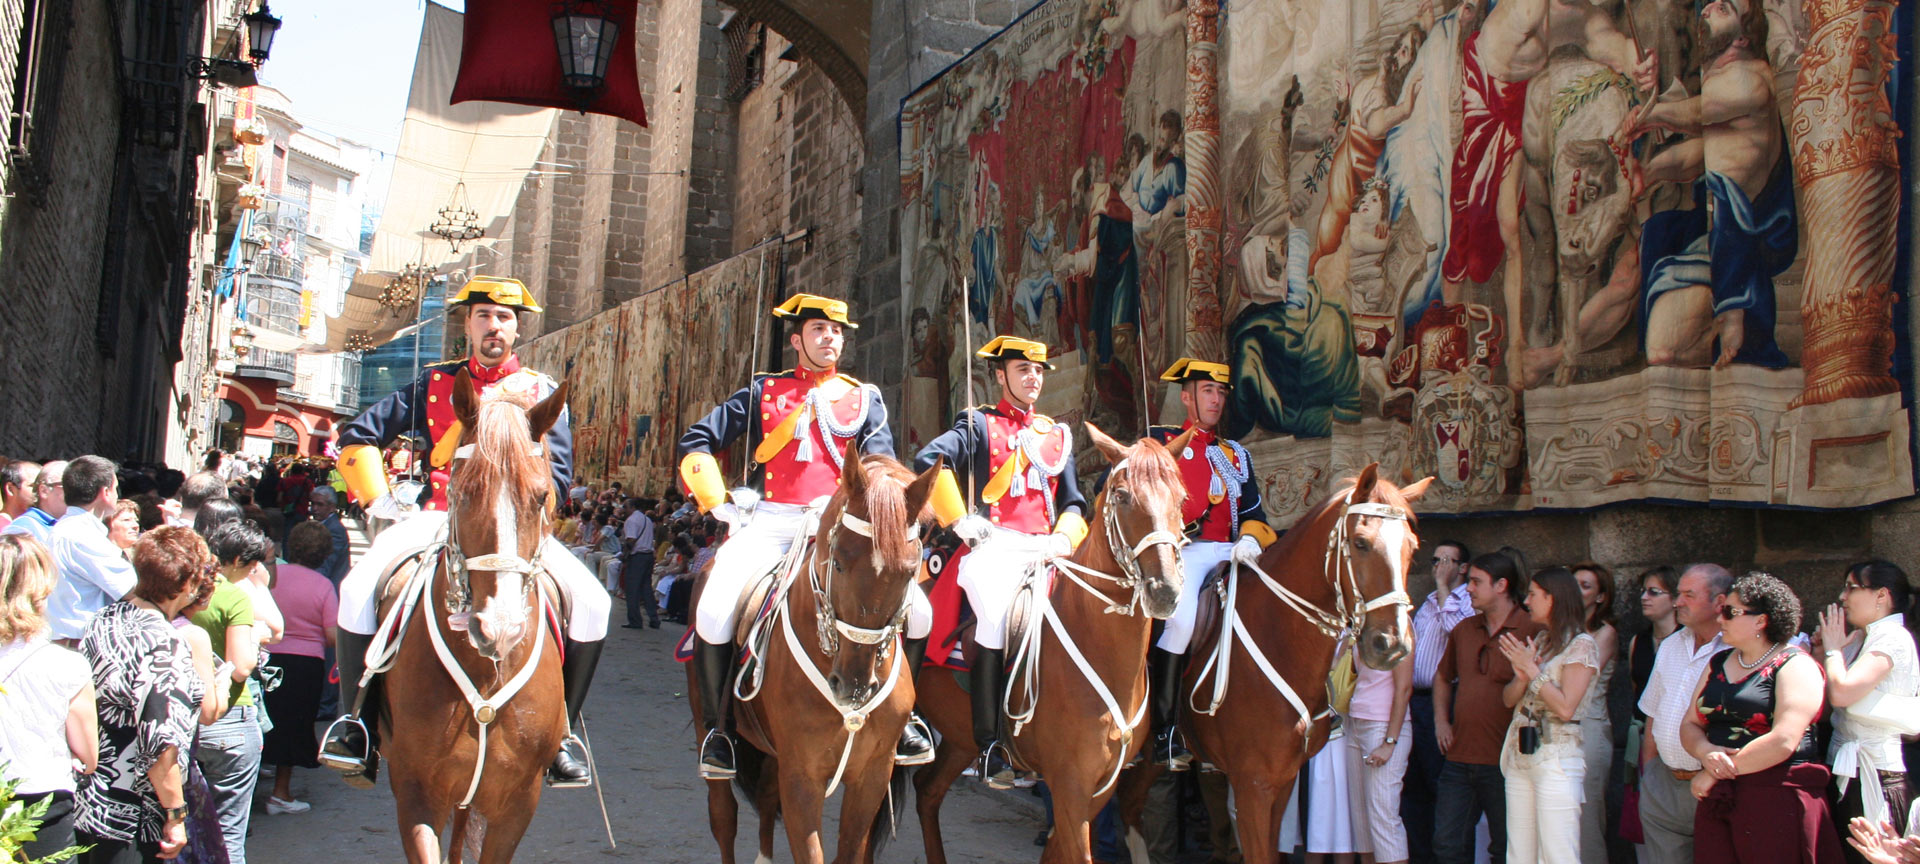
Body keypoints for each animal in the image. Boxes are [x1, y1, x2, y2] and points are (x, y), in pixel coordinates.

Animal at [374, 370, 568, 864]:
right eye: (461, 493)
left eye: (541, 497)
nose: (498, 629)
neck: (487, 671)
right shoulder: (416, 792)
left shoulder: (517, 802)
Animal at [691, 441, 944, 864]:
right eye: (838, 562)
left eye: (910, 572)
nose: (854, 686)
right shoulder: (802, 777)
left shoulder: (871, 776)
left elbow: (851, 849)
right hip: (709, 731)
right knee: (723, 817)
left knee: (764, 798)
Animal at [910, 424, 1182, 864]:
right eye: (1123, 496)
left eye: (1182, 497)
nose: (1166, 591)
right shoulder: (1071, 785)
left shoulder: (1099, 787)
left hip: (959, 737)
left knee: (927, 790)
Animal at [1113, 462, 1428, 864]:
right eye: (1360, 543)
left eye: (1412, 547)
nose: (1392, 644)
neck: (1280, 635)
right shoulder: (1253, 785)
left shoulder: (1283, 782)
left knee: (1128, 803)